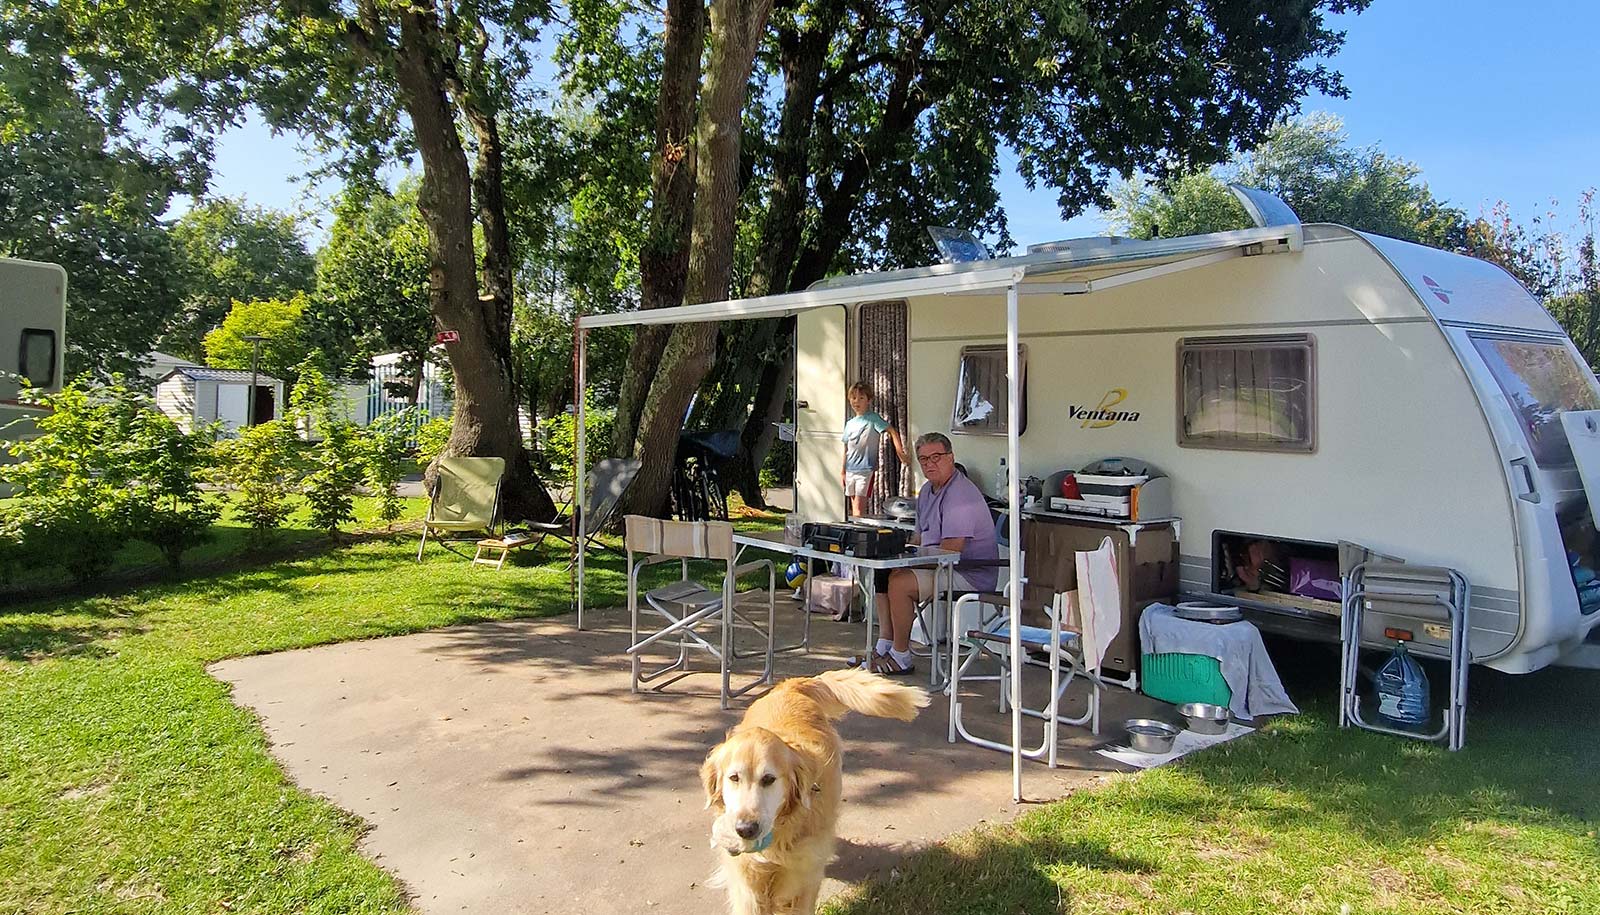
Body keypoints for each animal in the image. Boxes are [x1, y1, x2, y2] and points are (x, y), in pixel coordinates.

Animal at [697, 665, 928, 915]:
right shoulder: (748, 884)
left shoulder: (802, 881)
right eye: (734, 778)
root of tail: (789, 686)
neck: (781, 835)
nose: (745, 829)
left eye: (769, 779)